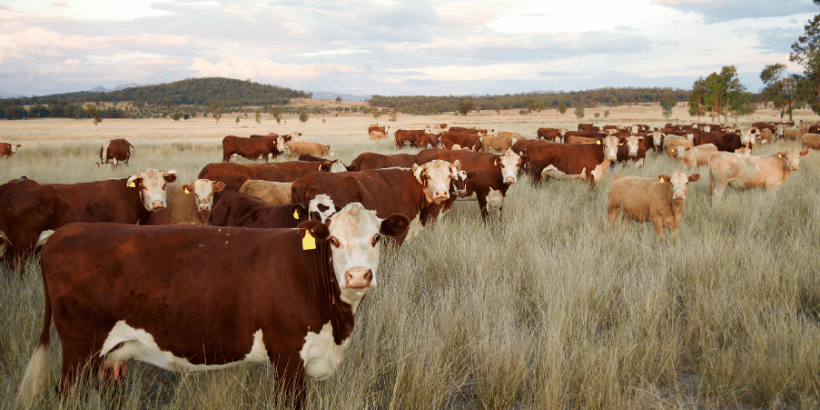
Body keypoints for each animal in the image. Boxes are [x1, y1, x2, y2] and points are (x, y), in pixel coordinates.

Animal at [15, 203, 406, 410]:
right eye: (334, 240)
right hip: (79, 348)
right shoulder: (287, 358)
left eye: (376, 237)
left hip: (110, 355)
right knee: (69, 394)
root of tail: (62, 233)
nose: (358, 275)